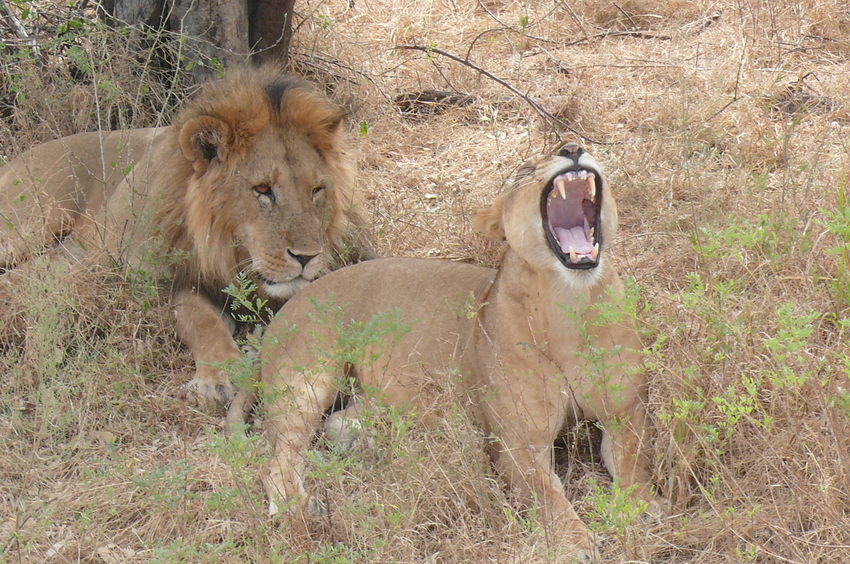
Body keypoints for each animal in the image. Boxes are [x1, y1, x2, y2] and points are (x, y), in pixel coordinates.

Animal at [0, 67, 372, 406]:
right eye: (263, 189)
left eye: (316, 190)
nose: (307, 257)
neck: (228, 251)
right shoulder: (164, 281)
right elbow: (199, 320)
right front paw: (219, 378)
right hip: (29, 225)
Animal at [252, 142, 664, 560]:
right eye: (525, 170)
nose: (572, 147)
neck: (571, 306)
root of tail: (289, 302)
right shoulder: (517, 443)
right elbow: (547, 495)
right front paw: (574, 542)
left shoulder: (626, 413)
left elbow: (635, 460)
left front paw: (644, 508)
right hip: (308, 379)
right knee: (277, 461)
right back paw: (302, 511)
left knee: (340, 421)